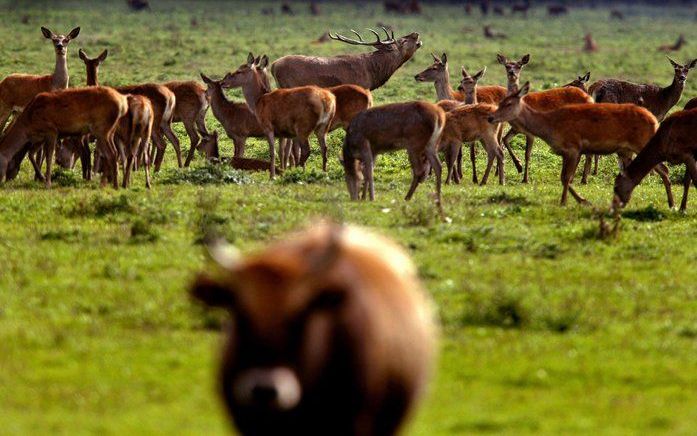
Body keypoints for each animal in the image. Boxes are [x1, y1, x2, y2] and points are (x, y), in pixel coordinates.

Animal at [0, 87, 128, 188]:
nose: (6, 179)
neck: (28, 125)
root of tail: (123, 103)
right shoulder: (39, 138)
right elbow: (31, 154)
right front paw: (41, 178)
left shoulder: (51, 130)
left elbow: (49, 156)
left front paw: (48, 183)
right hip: (111, 131)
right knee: (114, 153)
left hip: (101, 129)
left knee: (111, 154)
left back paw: (114, 185)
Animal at [486, 82, 672, 208]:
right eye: (500, 101)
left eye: (508, 104)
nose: (490, 117)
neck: (549, 126)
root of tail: (654, 120)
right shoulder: (566, 151)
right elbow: (564, 177)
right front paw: (581, 200)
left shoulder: (573, 147)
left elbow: (566, 177)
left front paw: (567, 201)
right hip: (626, 150)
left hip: (643, 143)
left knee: (663, 168)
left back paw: (672, 203)